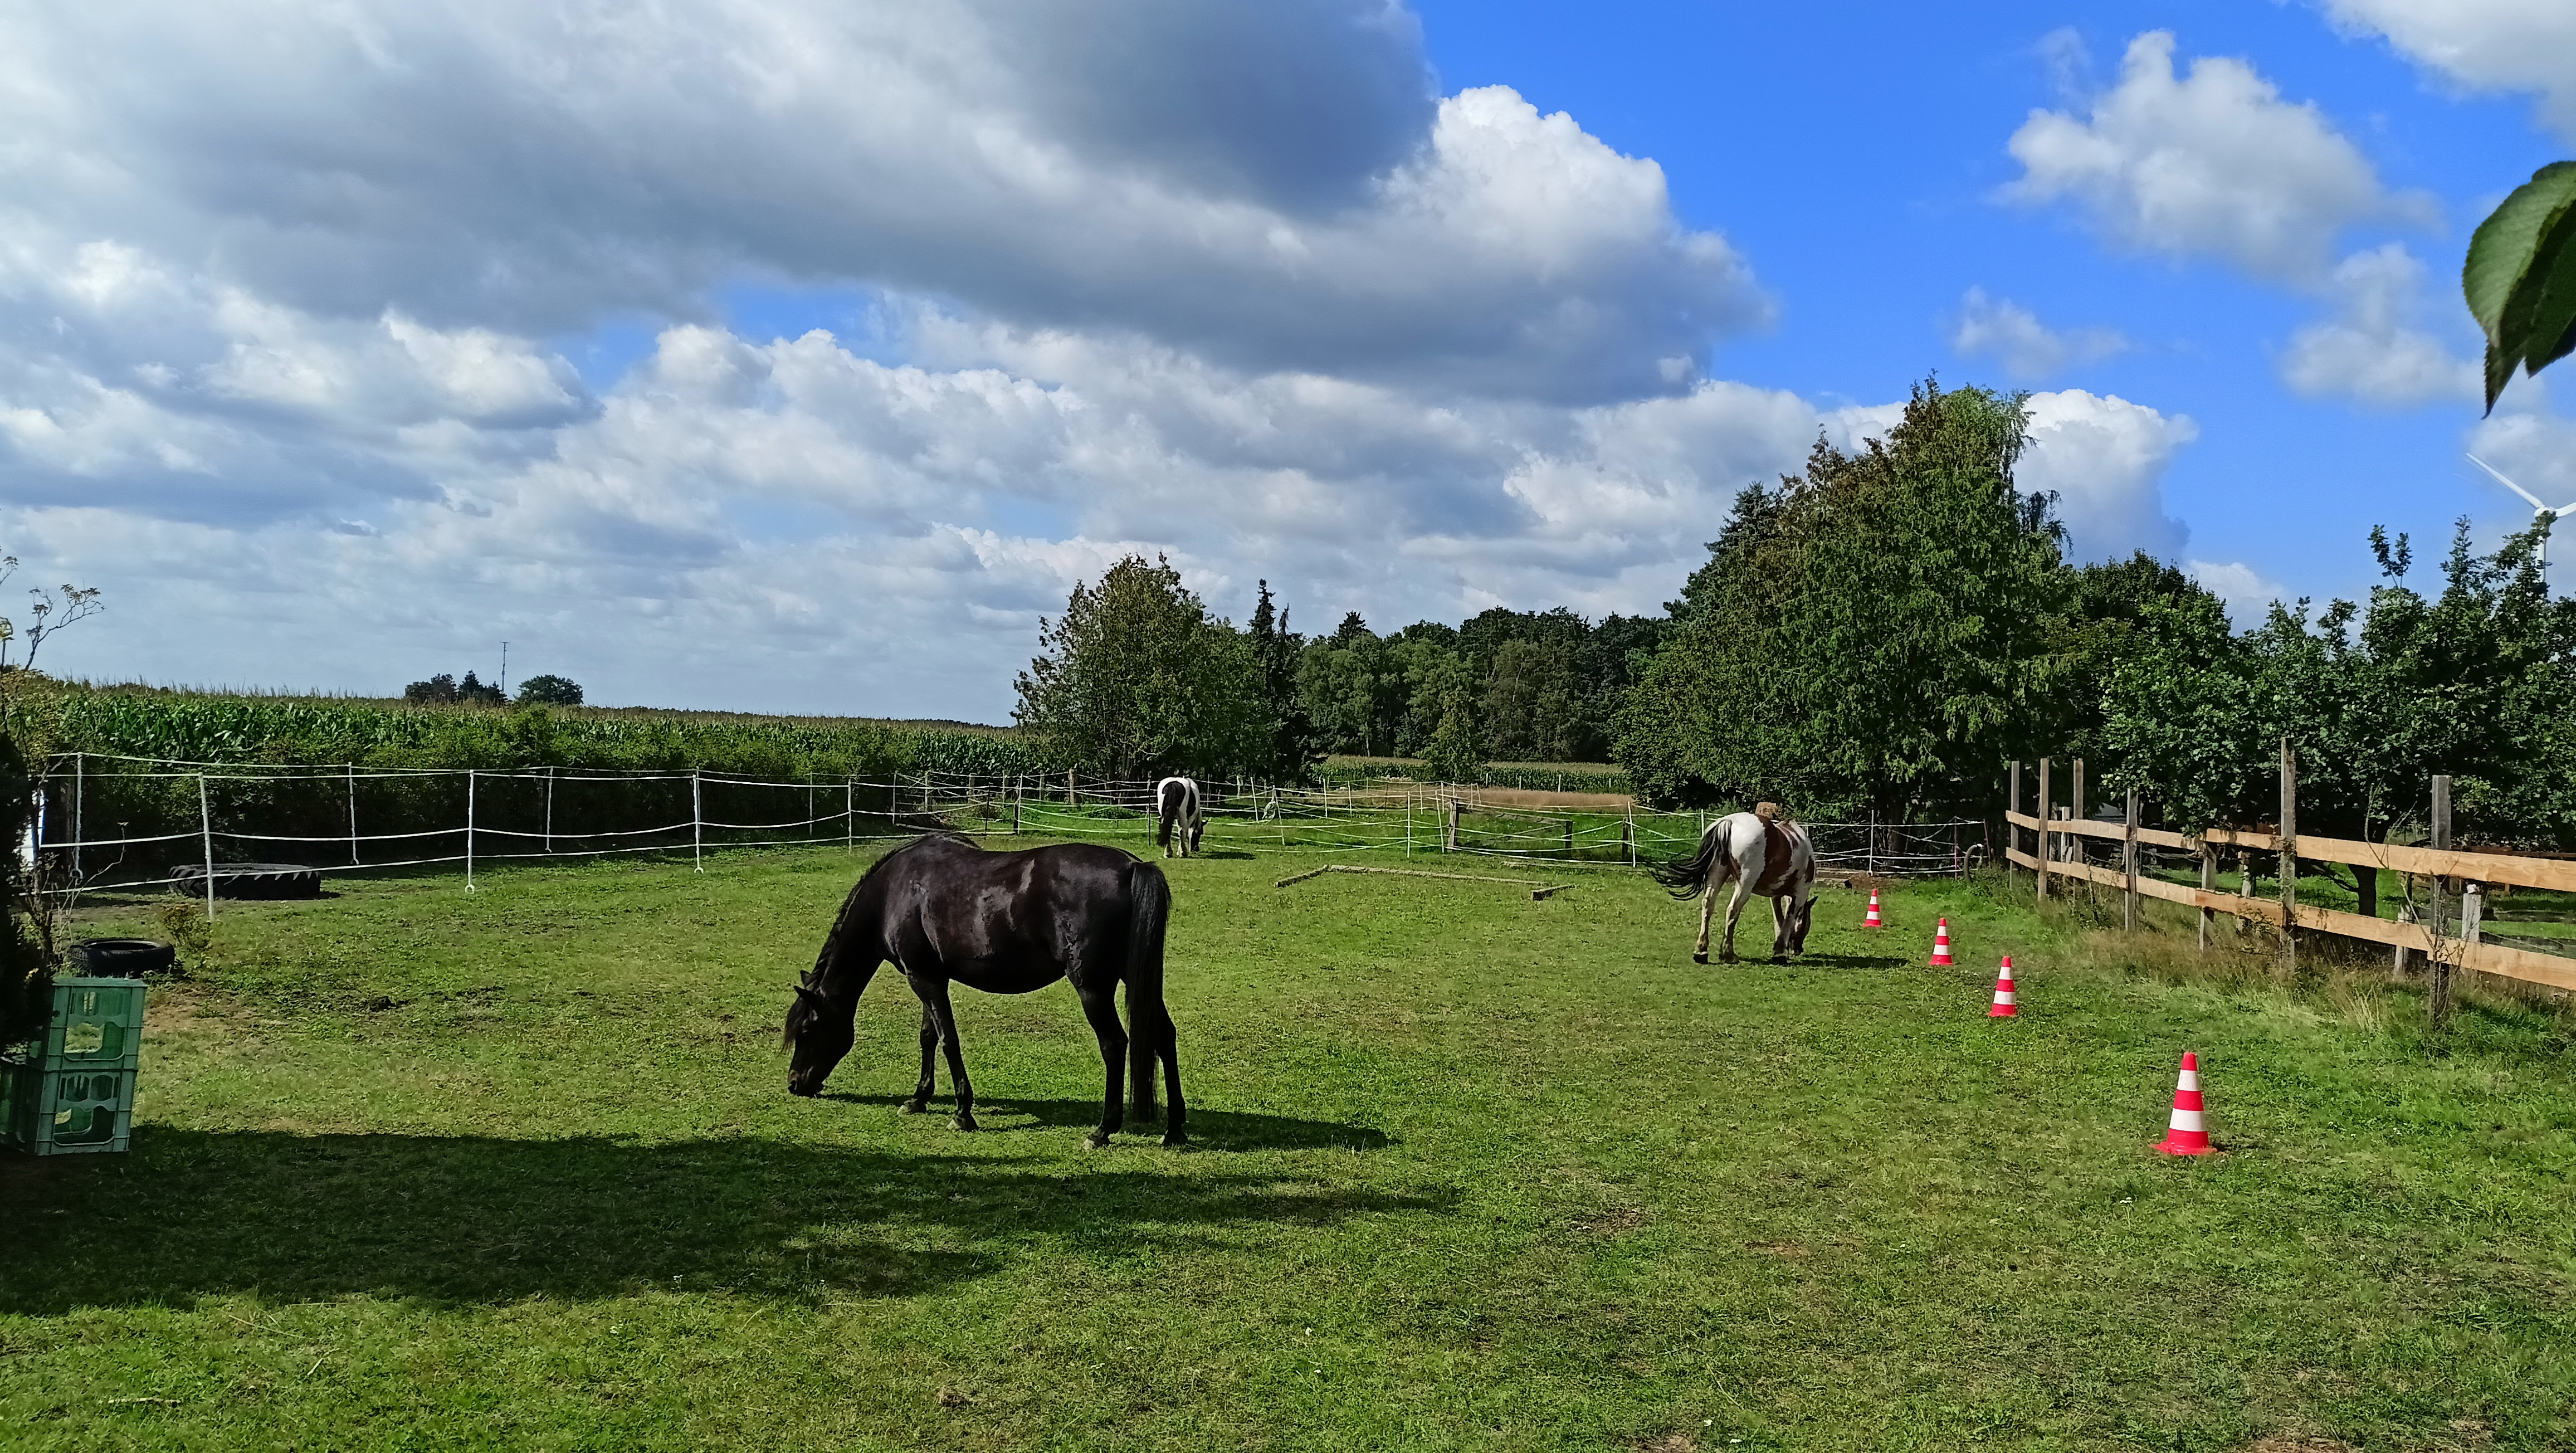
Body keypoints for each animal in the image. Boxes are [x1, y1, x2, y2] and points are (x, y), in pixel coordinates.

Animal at [783, 834, 1186, 1148]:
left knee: (1115, 1045)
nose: (795, 1084)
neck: (894, 892)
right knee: (1164, 1036)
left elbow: (948, 1040)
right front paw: (918, 1099)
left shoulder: (923, 979)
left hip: (1093, 988)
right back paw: (1175, 1130)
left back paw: (1102, 1131)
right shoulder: (929, 977)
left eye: (806, 1030)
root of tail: (1133, 868)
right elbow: (929, 1036)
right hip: (1134, 980)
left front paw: (963, 1113)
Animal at [1154, 775, 1205, 858]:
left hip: (1164, 815)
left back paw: (1168, 853)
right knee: (1182, 832)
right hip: (1183, 815)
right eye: (1200, 833)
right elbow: (1185, 832)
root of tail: (1172, 785)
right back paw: (1183, 853)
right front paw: (1181, 851)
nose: (1196, 849)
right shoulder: (1189, 818)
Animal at [1651, 810, 1818, 964]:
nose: (1799, 950)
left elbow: (1779, 920)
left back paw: (1701, 952)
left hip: (1716, 876)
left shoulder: (1775, 895)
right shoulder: (1800, 894)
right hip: (1744, 886)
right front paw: (1780, 953)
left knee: (1708, 905)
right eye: (1807, 923)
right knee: (1732, 910)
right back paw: (1728, 954)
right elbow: (1789, 919)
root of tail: (1729, 822)